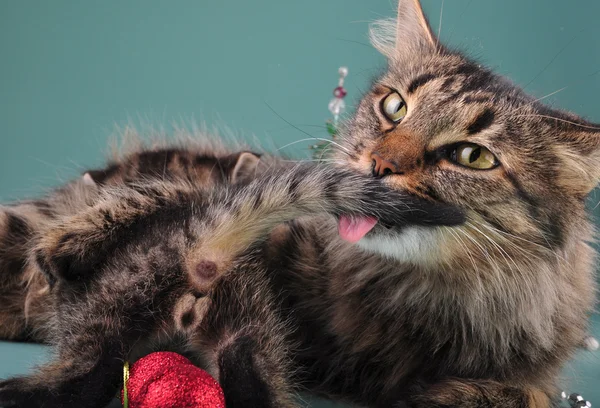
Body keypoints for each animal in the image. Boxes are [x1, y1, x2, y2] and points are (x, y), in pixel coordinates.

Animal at [1, 0, 600, 406]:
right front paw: (67, 240)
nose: (381, 165)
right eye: (394, 107)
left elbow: (528, 395)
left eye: (472, 156)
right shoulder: (262, 193)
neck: (411, 297)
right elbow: (186, 191)